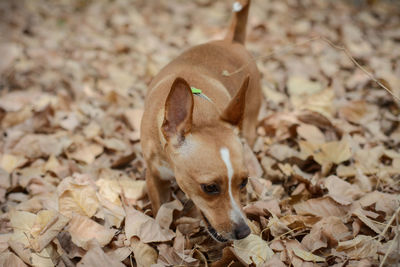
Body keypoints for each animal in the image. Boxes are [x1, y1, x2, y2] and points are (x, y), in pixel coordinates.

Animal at [141, 0, 262, 243]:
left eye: (243, 182)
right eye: (210, 187)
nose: (244, 232)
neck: (201, 115)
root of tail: (232, 41)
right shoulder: (154, 177)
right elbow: (159, 210)